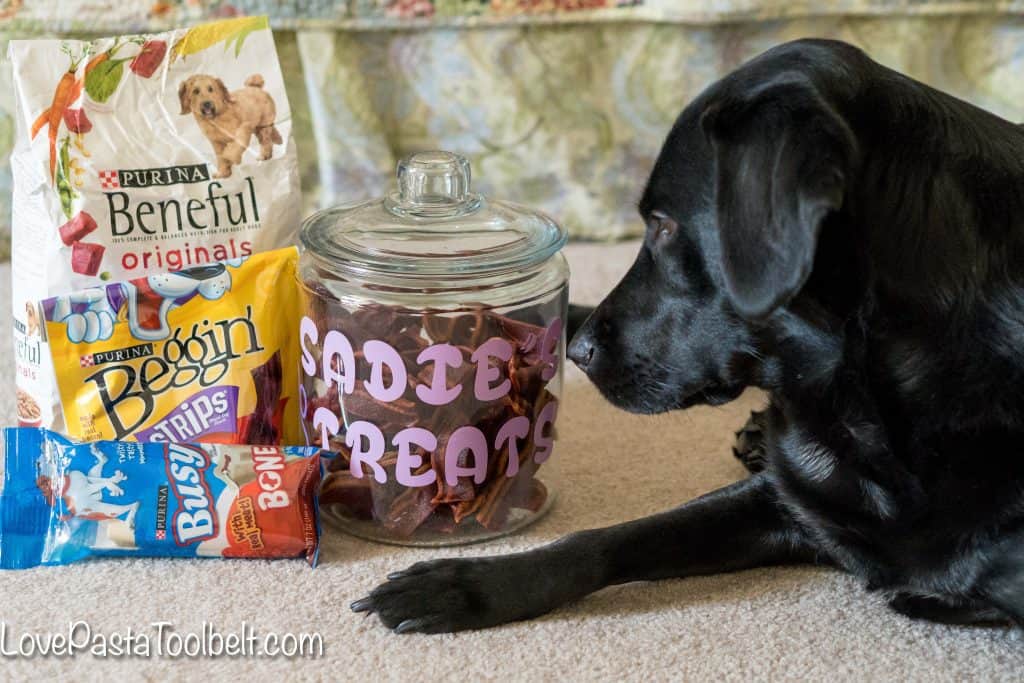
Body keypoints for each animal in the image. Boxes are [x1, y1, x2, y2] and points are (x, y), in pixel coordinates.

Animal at [354, 40, 1024, 634]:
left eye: (664, 226)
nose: (580, 352)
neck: (865, 403)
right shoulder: (781, 498)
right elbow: (608, 538)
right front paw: (469, 585)